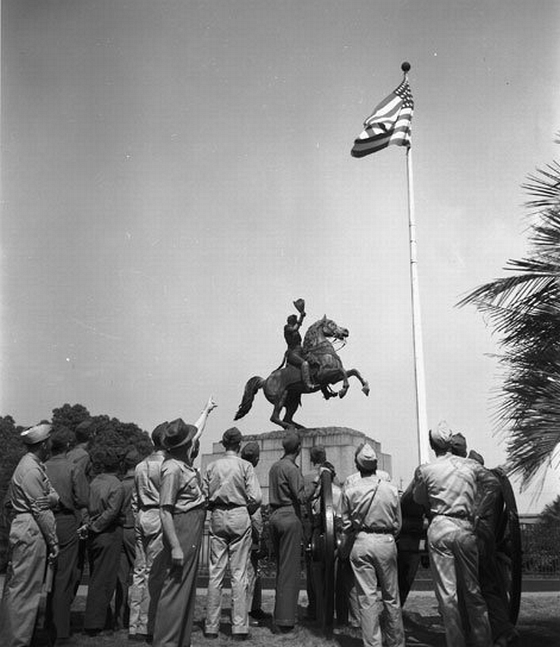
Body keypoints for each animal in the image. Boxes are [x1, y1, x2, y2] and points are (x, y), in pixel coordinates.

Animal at [234, 316, 370, 430]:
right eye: (332, 324)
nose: (346, 331)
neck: (322, 350)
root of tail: (265, 381)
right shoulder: (323, 376)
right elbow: (343, 372)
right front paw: (343, 391)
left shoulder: (332, 379)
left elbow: (353, 371)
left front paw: (366, 388)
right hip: (281, 396)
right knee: (275, 417)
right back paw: (291, 427)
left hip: (293, 401)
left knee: (286, 418)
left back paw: (302, 428)